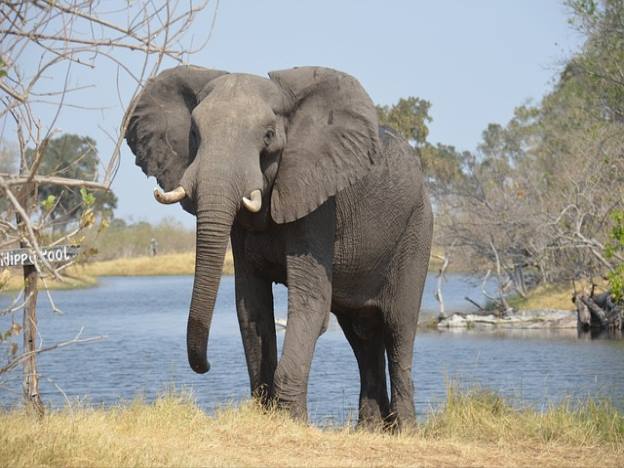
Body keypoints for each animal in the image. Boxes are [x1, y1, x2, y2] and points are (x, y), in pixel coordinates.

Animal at [124, 65, 432, 428]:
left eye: (269, 135)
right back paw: (370, 429)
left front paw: (294, 422)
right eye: (195, 133)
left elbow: (310, 302)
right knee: (362, 333)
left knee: (399, 327)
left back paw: (404, 430)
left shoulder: (317, 201)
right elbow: (251, 305)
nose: (206, 366)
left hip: (417, 228)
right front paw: (266, 414)